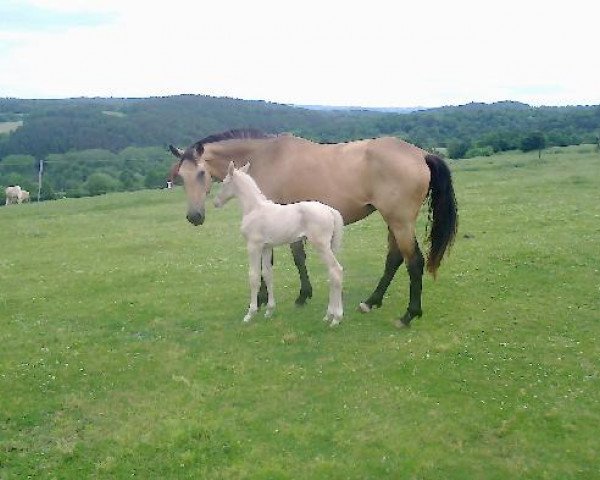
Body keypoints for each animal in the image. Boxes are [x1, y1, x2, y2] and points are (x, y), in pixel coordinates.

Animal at [214, 162, 346, 326]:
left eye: (225, 182)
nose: (215, 202)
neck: (254, 208)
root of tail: (330, 210)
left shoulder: (253, 246)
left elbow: (254, 276)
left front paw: (250, 314)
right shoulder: (266, 247)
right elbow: (267, 274)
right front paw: (269, 311)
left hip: (321, 246)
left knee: (336, 271)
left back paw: (336, 318)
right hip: (329, 247)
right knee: (331, 274)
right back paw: (329, 315)